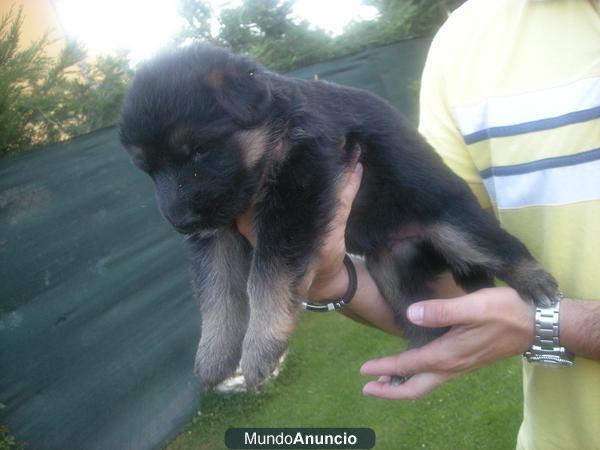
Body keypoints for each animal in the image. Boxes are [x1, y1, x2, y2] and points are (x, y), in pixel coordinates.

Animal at [117, 46, 556, 390]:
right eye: (149, 169)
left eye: (199, 151)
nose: (181, 222)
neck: (276, 129)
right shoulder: (218, 230)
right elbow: (215, 291)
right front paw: (214, 353)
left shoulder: (297, 195)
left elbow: (266, 276)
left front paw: (260, 348)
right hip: (392, 267)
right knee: (421, 320)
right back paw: (415, 361)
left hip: (454, 225)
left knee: (500, 246)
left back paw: (536, 281)